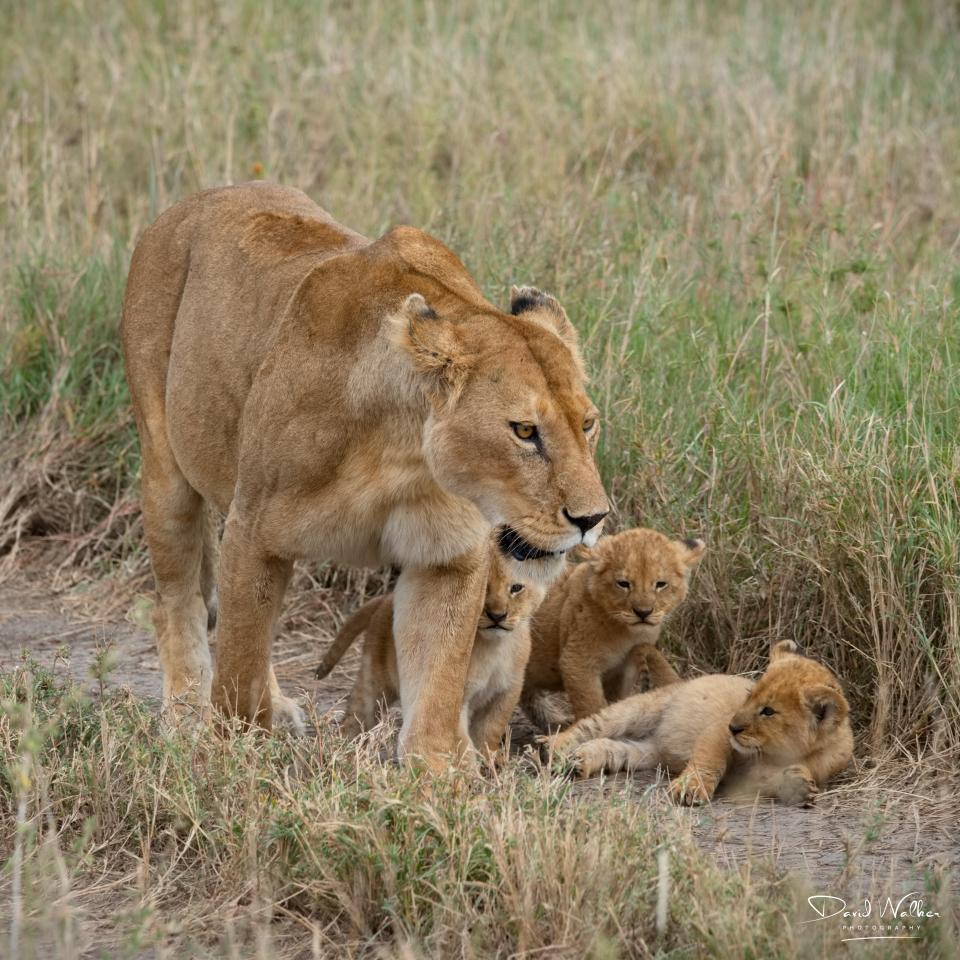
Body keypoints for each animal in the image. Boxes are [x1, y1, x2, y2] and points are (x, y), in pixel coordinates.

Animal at [315, 537, 544, 754]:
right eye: (483, 588)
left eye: (516, 588)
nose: (497, 616)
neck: (496, 647)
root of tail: (385, 599)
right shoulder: (458, 695)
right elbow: (458, 736)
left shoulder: (506, 692)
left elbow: (490, 732)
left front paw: (490, 761)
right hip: (374, 681)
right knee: (356, 714)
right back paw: (343, 746)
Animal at [520, 528, 705, 727]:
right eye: (623, 583)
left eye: (661, 584)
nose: (643, 613)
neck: (627, 633)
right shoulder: (577, 662)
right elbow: (590, 704)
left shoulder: (622, 670)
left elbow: (616, 701)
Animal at [544, 640, 854, 806]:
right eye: (749, 696)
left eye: (768, 711)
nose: (734, 727)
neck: (778, 753)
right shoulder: (718, 731)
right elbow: (709, 758)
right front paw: (689, 789)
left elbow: (769, 782)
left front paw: (799, 787)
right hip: (641, 708)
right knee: (590, 726)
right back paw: (551, 748)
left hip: (645, 752)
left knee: (610, 747)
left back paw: (579, 761)